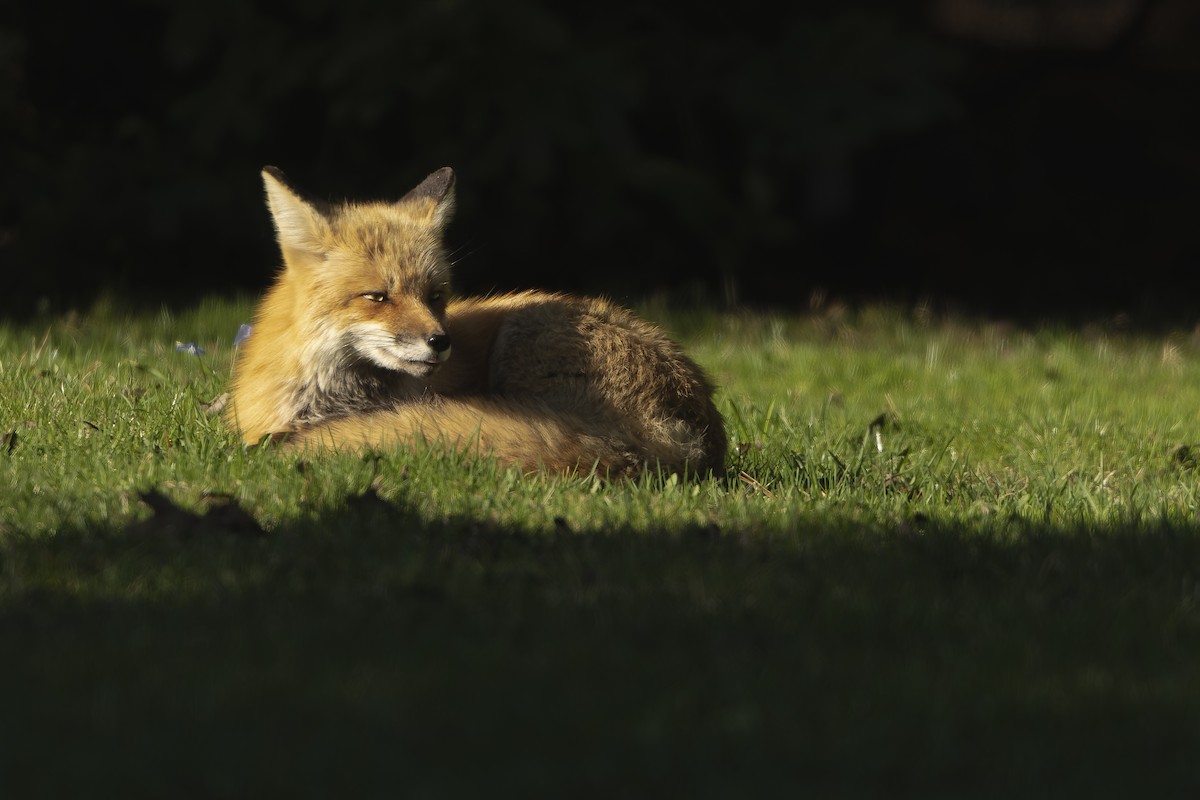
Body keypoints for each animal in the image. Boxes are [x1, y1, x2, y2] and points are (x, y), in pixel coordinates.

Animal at [226, 166, 727, 478]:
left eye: (436, 295)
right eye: (377, 297)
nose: (439, 342)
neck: (329, 402)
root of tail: (694, 436)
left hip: (524, 335)